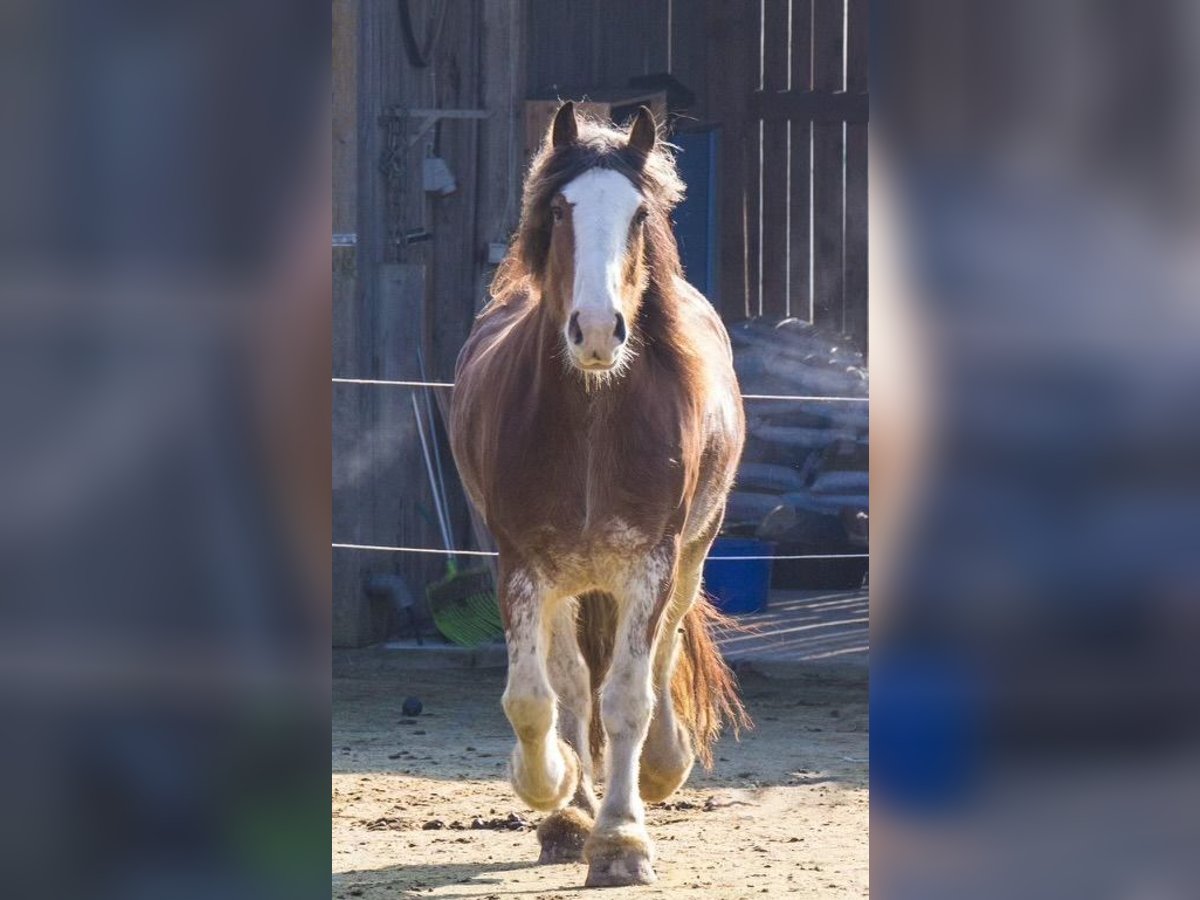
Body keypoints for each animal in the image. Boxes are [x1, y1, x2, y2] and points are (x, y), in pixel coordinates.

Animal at [451, 100, 748, 888]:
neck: (593, 420)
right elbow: (535, 700)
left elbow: (628, 699)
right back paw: (568, 814)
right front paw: (555, 792)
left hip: (690, 554)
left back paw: (662, 768)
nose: (594, 330)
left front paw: (621, 841)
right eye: (560, 210)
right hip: (564, 582)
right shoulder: (521, 565)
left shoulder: (651, 563)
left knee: (663, 653)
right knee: (568, 682)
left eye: (640, 214)